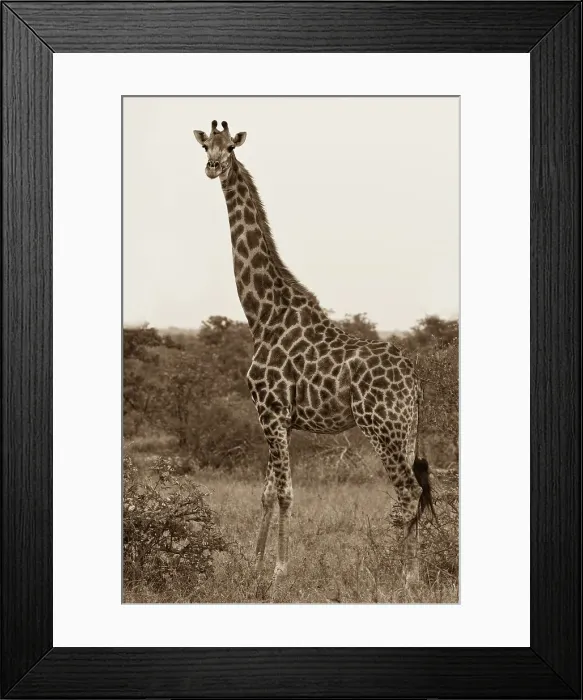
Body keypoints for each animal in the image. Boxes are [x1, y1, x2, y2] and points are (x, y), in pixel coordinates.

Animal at [192, 121, 435, 589]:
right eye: (205, 145)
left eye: (230, 148)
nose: (212, 167)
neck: (262, 315)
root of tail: (413, 381)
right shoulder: (281, 417)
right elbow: (267, 492)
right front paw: (254, 566)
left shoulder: (269, 410)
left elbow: (286, 492)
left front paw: (280, 570)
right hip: (407, 429)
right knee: (414, 490)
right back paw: (411, 574)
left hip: (382, 427)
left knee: (408, 491)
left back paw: (396, 576)